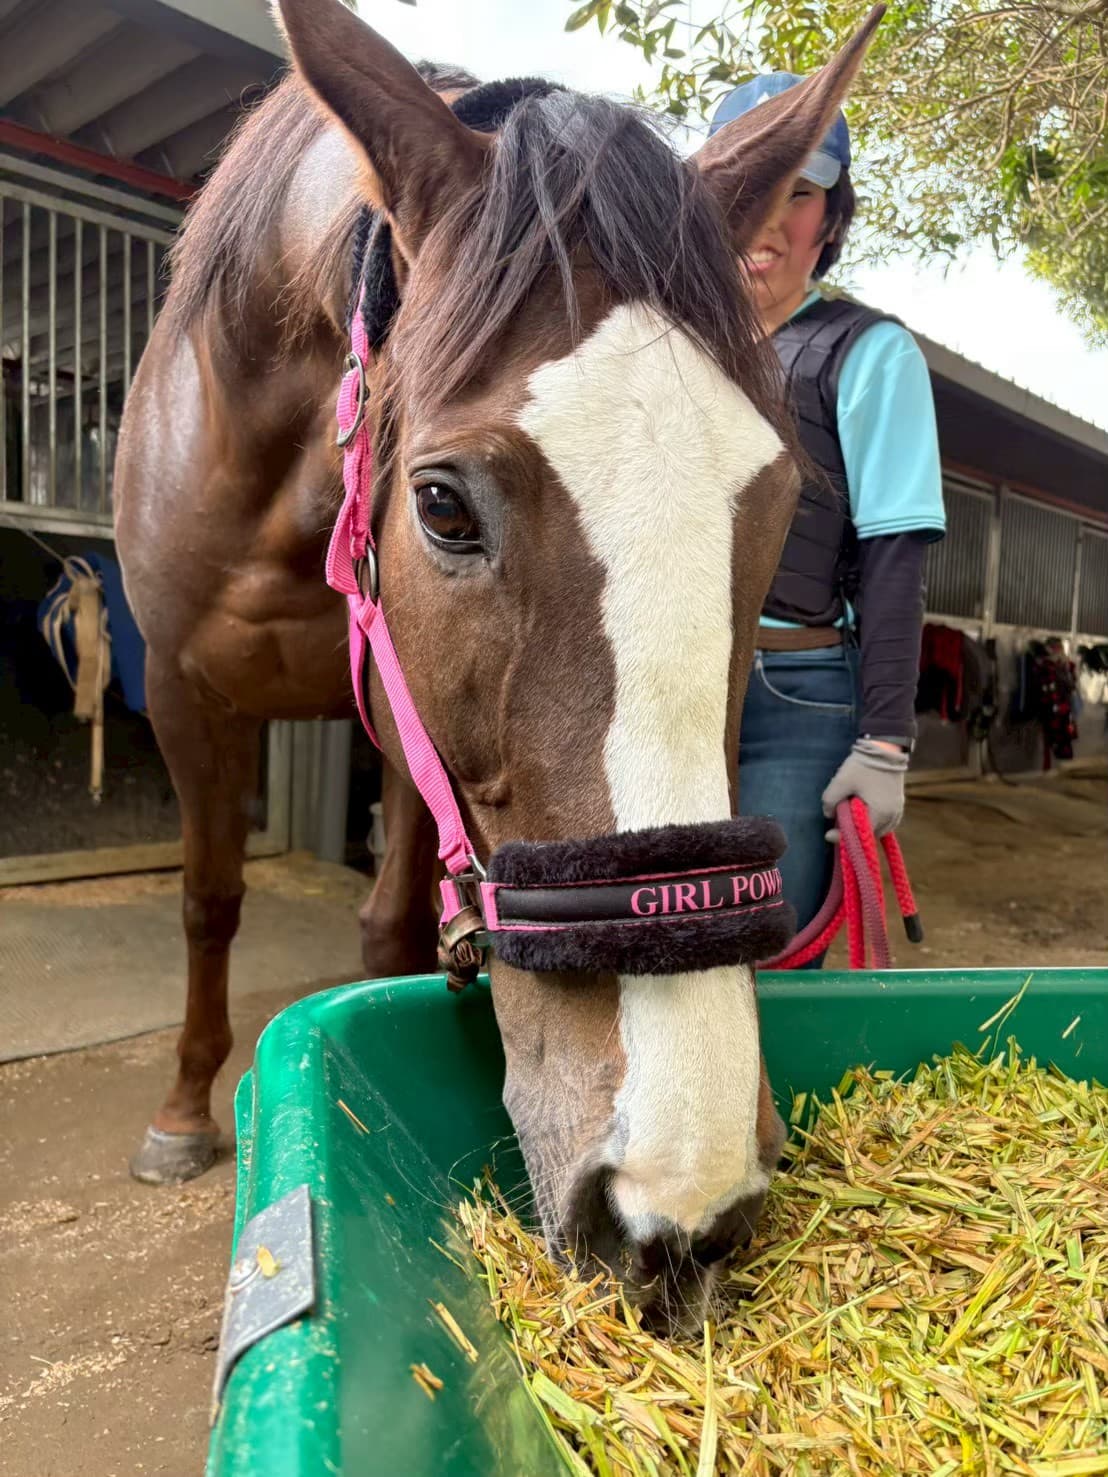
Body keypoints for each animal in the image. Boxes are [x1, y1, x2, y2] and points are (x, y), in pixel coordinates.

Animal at [114, 0, 880, 1325]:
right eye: (443, 505)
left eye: (781, 499)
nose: (682, 1196)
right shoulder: (183, 692)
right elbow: (209, 901)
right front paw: (179, 1114)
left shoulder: (402, 729)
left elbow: (388, 932)